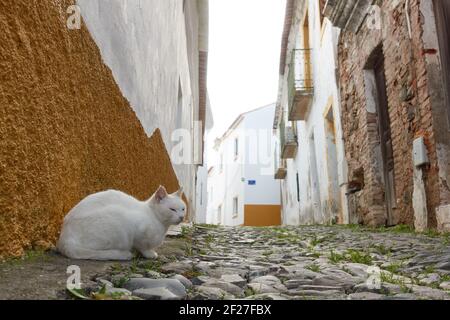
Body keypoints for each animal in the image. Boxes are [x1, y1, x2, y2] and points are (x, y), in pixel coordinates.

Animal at [57, 185, 185, 260]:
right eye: (172, 209)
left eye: (183, 208)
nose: (181, 217)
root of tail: (64, 239)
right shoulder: (138, 233)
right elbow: (142, 246)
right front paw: (149, 254)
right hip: (118, 224)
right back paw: (123, 254)